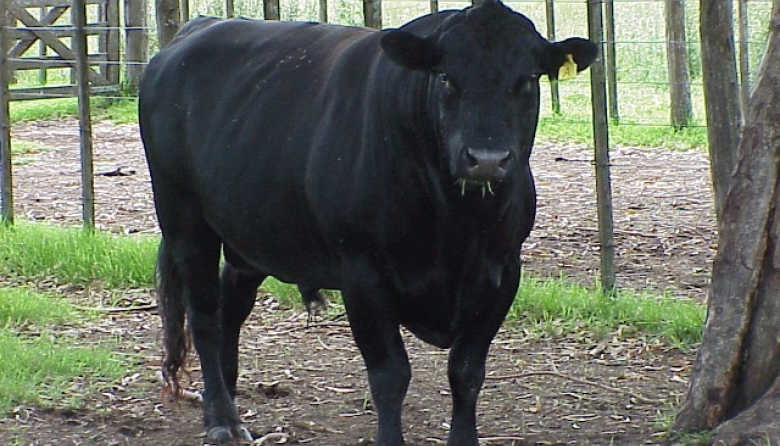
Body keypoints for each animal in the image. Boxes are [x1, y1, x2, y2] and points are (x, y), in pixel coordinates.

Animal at [138, 1, 597, 445]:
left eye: (529, 80)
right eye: (446, 77)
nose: (486, 159)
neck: (456, 227)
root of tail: (197, 27)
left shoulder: (502, 273)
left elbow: (466, 371)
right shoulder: (362, 274)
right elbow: (390, 374)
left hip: (250, 230)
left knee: (231, 306)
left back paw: (229, 400)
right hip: (182, 217)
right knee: (204, 315)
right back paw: (221, 419)